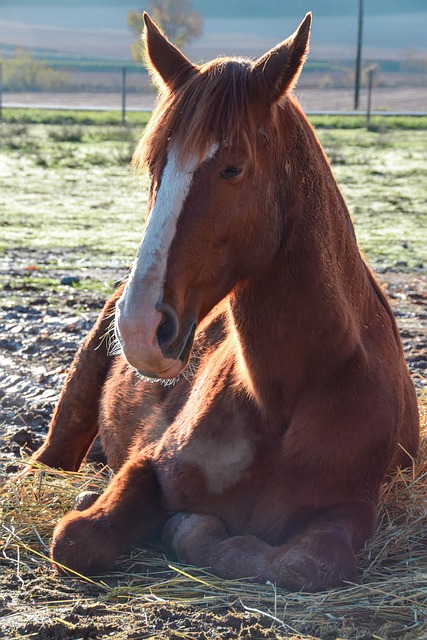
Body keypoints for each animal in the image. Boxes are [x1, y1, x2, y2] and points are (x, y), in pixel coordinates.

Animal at [31, 12, 420, 592]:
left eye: (233, 168)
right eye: (154, 167)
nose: (140, 327)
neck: (284, 397)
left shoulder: (349, 509)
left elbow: (306, 563)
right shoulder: (149, 466)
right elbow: (77, 540)